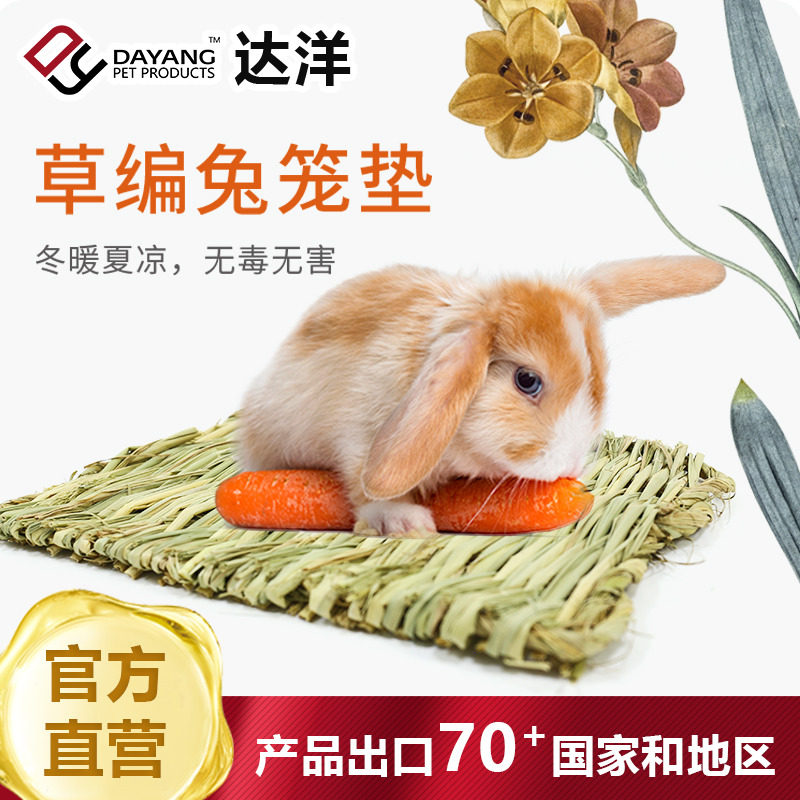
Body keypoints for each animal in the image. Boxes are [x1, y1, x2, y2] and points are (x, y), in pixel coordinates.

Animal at [237, 256, 725, 536]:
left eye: (599, 380)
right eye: (527, 380)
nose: (570, 467)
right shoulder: (358, 432)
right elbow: (362, 481)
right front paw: (405, 522)